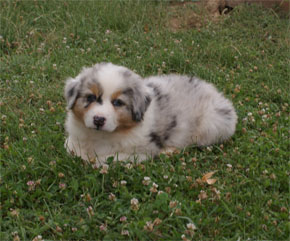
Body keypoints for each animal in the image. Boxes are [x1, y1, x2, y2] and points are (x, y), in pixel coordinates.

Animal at [64, 62, 237, 164]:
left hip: (211, 126)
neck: (100, 136)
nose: (99, 120)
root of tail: (216, 93)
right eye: (90, 97)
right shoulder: (74, 140)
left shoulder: (143, 150)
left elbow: (107, 159)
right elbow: (72, 148)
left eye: (118, 102)